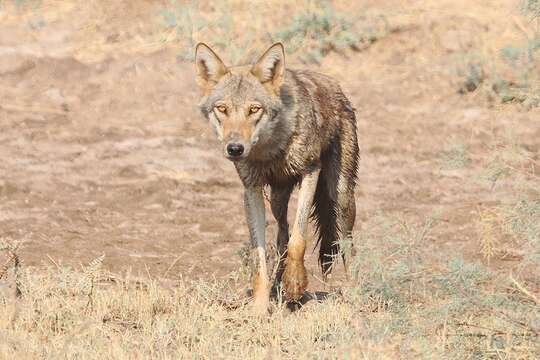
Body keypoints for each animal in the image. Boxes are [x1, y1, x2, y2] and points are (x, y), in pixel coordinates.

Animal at [194, 41, 358, 312]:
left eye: (254, 109)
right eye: (222, 109)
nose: (235, 149)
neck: (270, 149)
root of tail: (336, 86)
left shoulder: (310, 172)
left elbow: (299, 240)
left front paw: (295, 285)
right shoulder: (251, 189)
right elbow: (259, 254)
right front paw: (260, 308)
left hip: (341, 198)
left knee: (346, 244)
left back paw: (356, 290)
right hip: (277, 200)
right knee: (282, 233)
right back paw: (278, 286)